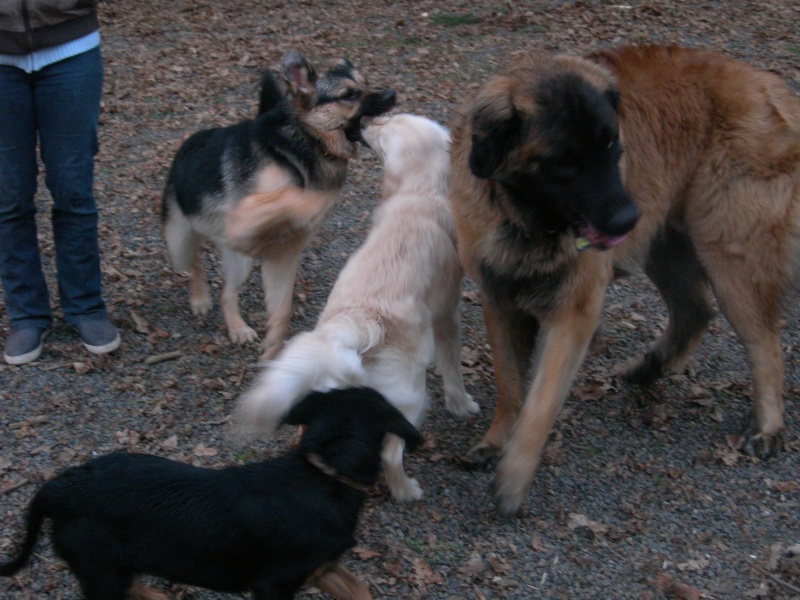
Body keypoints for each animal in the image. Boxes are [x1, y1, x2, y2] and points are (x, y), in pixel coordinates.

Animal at [0, 386, 422, 596]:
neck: (324, 472)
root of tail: (61, 487)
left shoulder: (320, 568)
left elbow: (359, 590)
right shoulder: (276, 583)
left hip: (115, 569)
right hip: (101, 571)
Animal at [163, 49, 396, 358]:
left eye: (366, 81)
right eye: (348, 94)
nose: (392, 94)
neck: (307, 138)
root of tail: (185, 145)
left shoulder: (283, 257)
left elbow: (282, 310)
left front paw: (273, 353)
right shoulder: (245, 213)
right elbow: (299, 197)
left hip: (241, 260)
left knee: (227, 292)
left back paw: (237, 328)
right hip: (179, 241)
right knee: (194, 261)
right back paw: (200, 298)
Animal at [450, 45, 800, 516]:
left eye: (612, 145)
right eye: (565, 162)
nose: (626, 219)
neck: (524, 220)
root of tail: (770, 85)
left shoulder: (575, 312)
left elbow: (541, 400)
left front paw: (514, 476)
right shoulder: (499, 300)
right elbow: (510, 384)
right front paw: (496, 440)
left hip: (728, 255)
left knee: (764, 344)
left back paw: (768, 426)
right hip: (665, 245)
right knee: (695, 311)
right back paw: (650, 367)